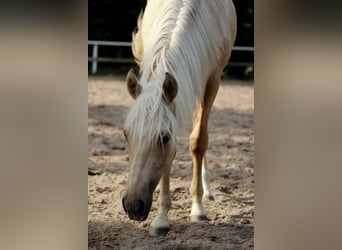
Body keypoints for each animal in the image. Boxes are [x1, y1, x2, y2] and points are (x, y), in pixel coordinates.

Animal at [121, 0, 236, 235]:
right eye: (126, 134)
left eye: (163, 137)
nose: (133, 206)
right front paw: (161, 219)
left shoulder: (211, 80)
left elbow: (198, 141)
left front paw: (197, 208)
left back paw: (206, 189)